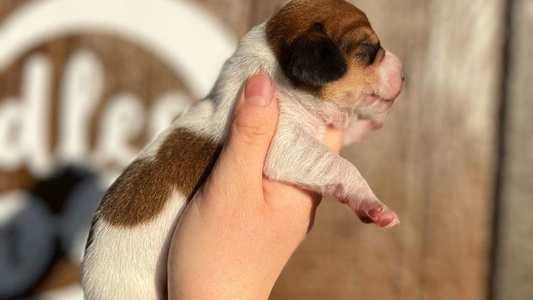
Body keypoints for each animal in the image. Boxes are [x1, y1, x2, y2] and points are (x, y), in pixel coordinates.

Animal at [81, 0, 402, 298]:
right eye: (368, 49)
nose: (404, 73)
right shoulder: (285, 144)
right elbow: (341, 166)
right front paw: (371, 203)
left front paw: (367, 123)